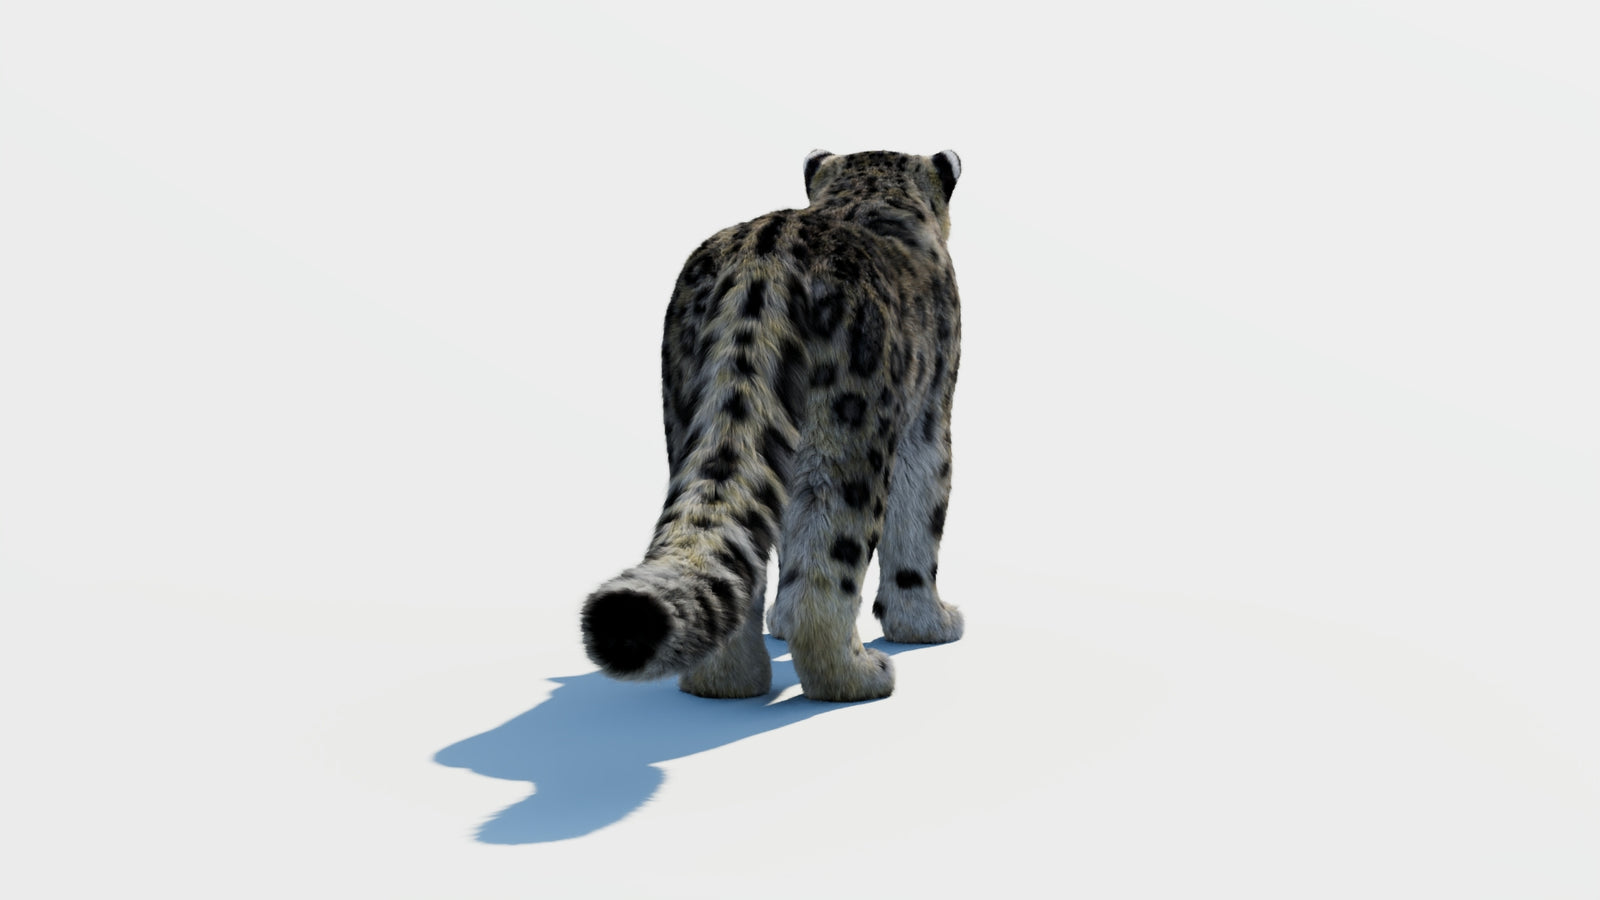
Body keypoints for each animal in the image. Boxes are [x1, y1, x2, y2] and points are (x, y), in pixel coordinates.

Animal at [579, 149, 964, 702]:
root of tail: (761, 267)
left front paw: (776, 622)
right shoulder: (930, 416)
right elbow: (920, 519)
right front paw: (929, 624)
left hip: (690, 417)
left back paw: (725, 683)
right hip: (847, 437)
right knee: (830, 563)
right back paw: (859, 677)